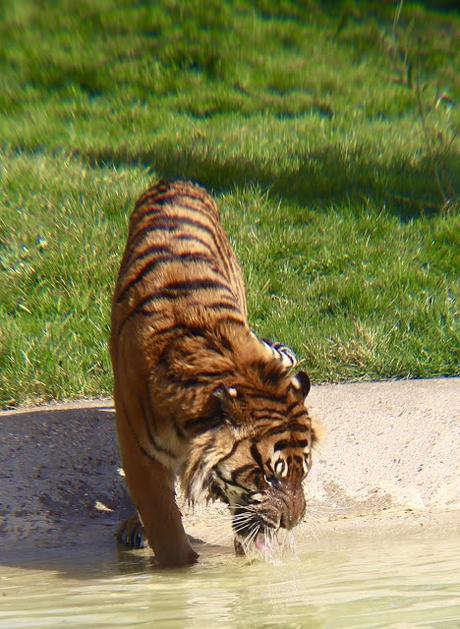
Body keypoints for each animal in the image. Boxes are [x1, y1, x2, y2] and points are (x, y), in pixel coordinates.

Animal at [109, 179, 318, 568]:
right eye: (267, 477)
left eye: (304, 471)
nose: (292, 523)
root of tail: (175, 181)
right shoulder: (140, 454)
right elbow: (165, 527)